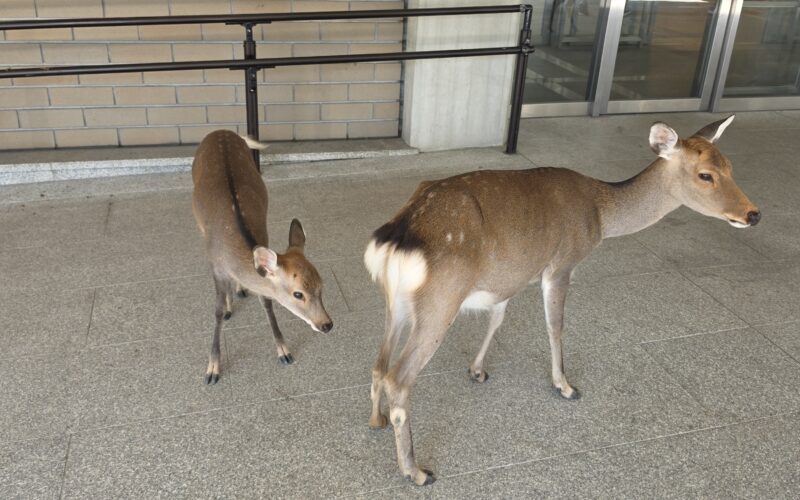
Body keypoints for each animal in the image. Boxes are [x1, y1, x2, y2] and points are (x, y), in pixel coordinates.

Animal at [192, 130, 333, 385]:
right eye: (298, 294)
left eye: (321, 285)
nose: (326, 324)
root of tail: (221, 131)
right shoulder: (215, 265)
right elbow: (217, 309)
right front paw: (212, 369)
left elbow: (266, 302)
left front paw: (284, 351)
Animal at [363, 116, 760, 485]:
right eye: (705, 175)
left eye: (730, 166)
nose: (753, 214)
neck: (600, 213)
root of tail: (396, 238)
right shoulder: (562, 263)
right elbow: (556, 326)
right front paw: (565, 386)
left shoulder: (509, 275)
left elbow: (498, 317)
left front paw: (477, 370)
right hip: (441, 299)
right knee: (399, 377)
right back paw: (416, 471)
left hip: (396, 302)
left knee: (379, 363)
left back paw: (376, 419)